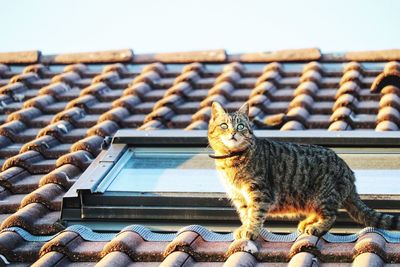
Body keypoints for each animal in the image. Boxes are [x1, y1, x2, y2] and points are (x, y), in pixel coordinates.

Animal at [208, 102, 398, 241]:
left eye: (240, 126)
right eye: (224, 125)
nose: (233, 133)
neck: (231, 160)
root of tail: (348, 171)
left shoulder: (259, 192)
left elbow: (255, 214)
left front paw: (250, 230)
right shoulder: (238, 196)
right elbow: (245, 214)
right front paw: (244, 227)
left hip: (324, 196)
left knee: (330, 216)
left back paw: (316, 227)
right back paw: (307, 222)